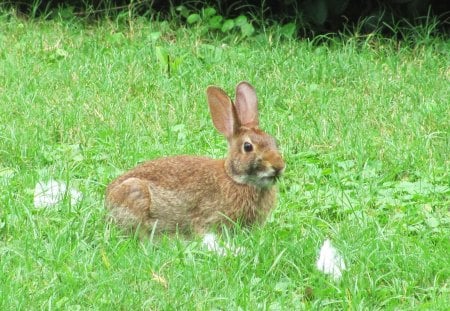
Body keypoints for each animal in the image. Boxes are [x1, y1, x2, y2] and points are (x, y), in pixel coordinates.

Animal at [105, 81, 284, 235]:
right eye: (248, 147)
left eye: (274, 141)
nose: (279, 166)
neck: (234, 178)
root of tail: (108, 200)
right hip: (136, 192)